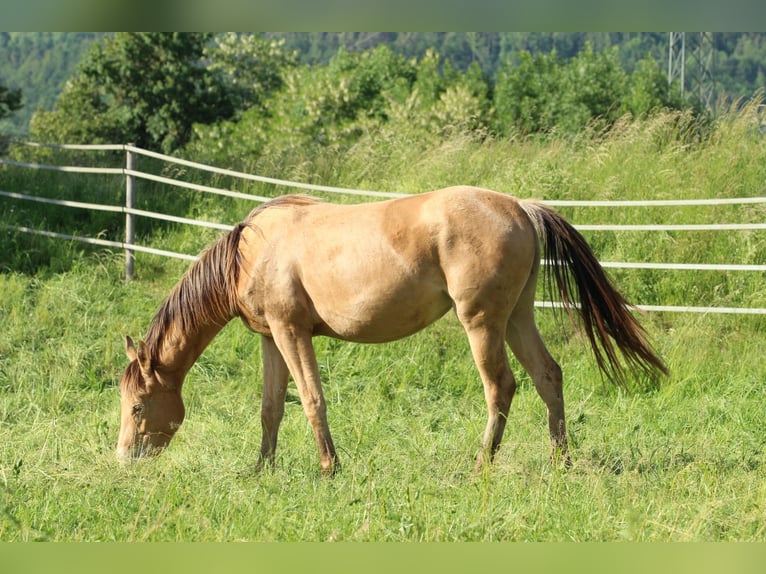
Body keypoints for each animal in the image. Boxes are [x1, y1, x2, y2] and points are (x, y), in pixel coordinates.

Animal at [116, 186, 667, 474]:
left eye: (138, 407)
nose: (125, 459)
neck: (251, 251)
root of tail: (520, 207)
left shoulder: (292, 331)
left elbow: (311, 398)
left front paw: (329, 468)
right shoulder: (271, 337)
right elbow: (271, 408)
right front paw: (261, 470)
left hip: (482, 323)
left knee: (501, 387)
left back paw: (480, 465)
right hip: (516, 318)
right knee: (548, 376)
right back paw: (560, 461)